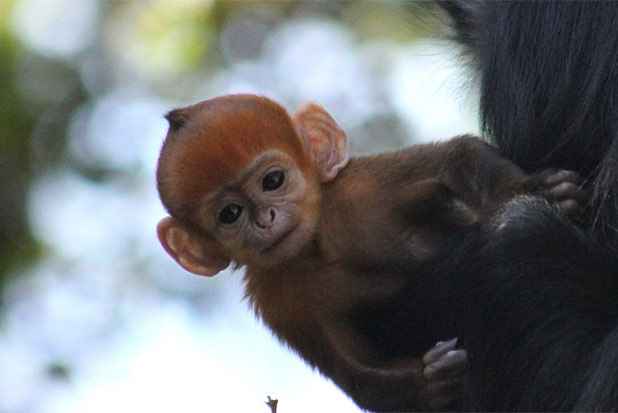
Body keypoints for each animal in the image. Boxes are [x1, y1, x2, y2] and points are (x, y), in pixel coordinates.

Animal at [154, 94, 584, 412]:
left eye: (272, 181)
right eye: (230, 214)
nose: (264, 220)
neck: (320, 245)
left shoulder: (361, 187)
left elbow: (456, 156)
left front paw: (532, 188)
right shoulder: (278, 300)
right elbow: (353, 373)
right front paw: (432, 381)